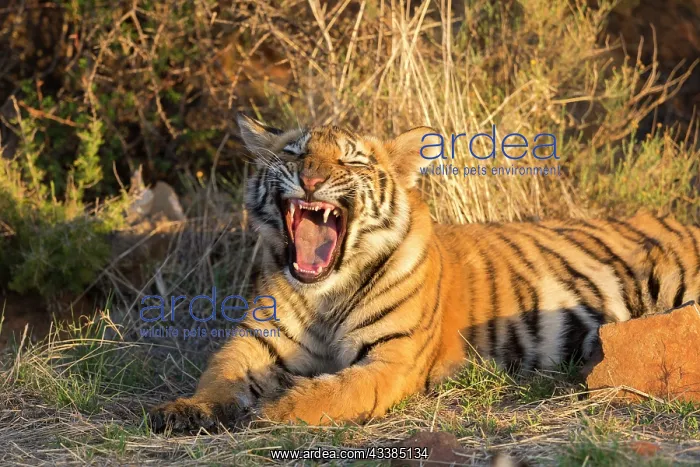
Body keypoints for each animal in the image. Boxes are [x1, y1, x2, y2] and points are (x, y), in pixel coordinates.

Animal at [148, 115, 700, 432]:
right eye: (294, 153)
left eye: (350, 159)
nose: (311, 178)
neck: (326, 292)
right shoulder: (256, 342)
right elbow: (218, 375)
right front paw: (185, 410)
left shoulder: (393, 358)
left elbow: (335, 390)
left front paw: (275, 411)